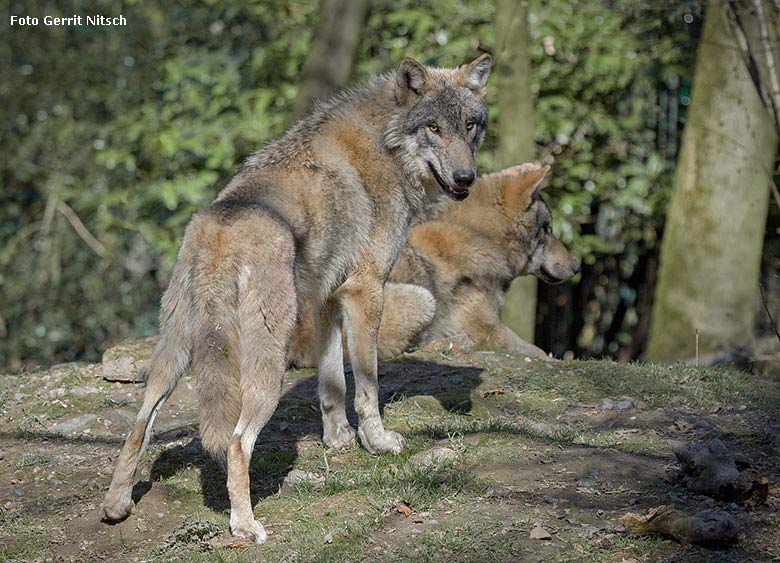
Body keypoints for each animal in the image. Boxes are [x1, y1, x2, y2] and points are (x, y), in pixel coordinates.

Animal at [100, 55, 490, 544]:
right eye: (434, 128)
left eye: (470, 126)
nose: (465, 178)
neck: (385, 144)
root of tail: (220, 227)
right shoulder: (366, 291)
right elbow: (367, 386)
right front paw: (377, 443)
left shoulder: (328, 297)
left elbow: (331, 383)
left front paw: (338, 440)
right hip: (267, 366)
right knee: (236, 443)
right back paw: (245, 526)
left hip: (172, 357)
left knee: (138, 426)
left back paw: (116, 506)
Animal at [288, 163, 580, 368]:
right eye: (548, 229)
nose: (577, 266)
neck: (478, 237)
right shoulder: (488, 329)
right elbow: (540, 352)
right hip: (422, 298)